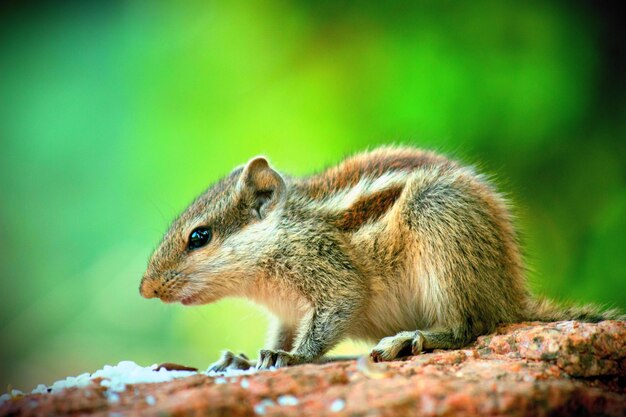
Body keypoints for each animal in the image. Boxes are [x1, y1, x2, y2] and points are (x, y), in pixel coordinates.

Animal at [138, 147, 620, 370]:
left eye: (199, 237)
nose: (146, 288)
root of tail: (512, 295)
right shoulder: (287, 312)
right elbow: (280, 334)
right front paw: (243, 360)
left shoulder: (328, 269)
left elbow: (336, 309)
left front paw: (292, 359)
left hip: (438, 224)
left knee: (471, 326)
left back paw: (414, 339)